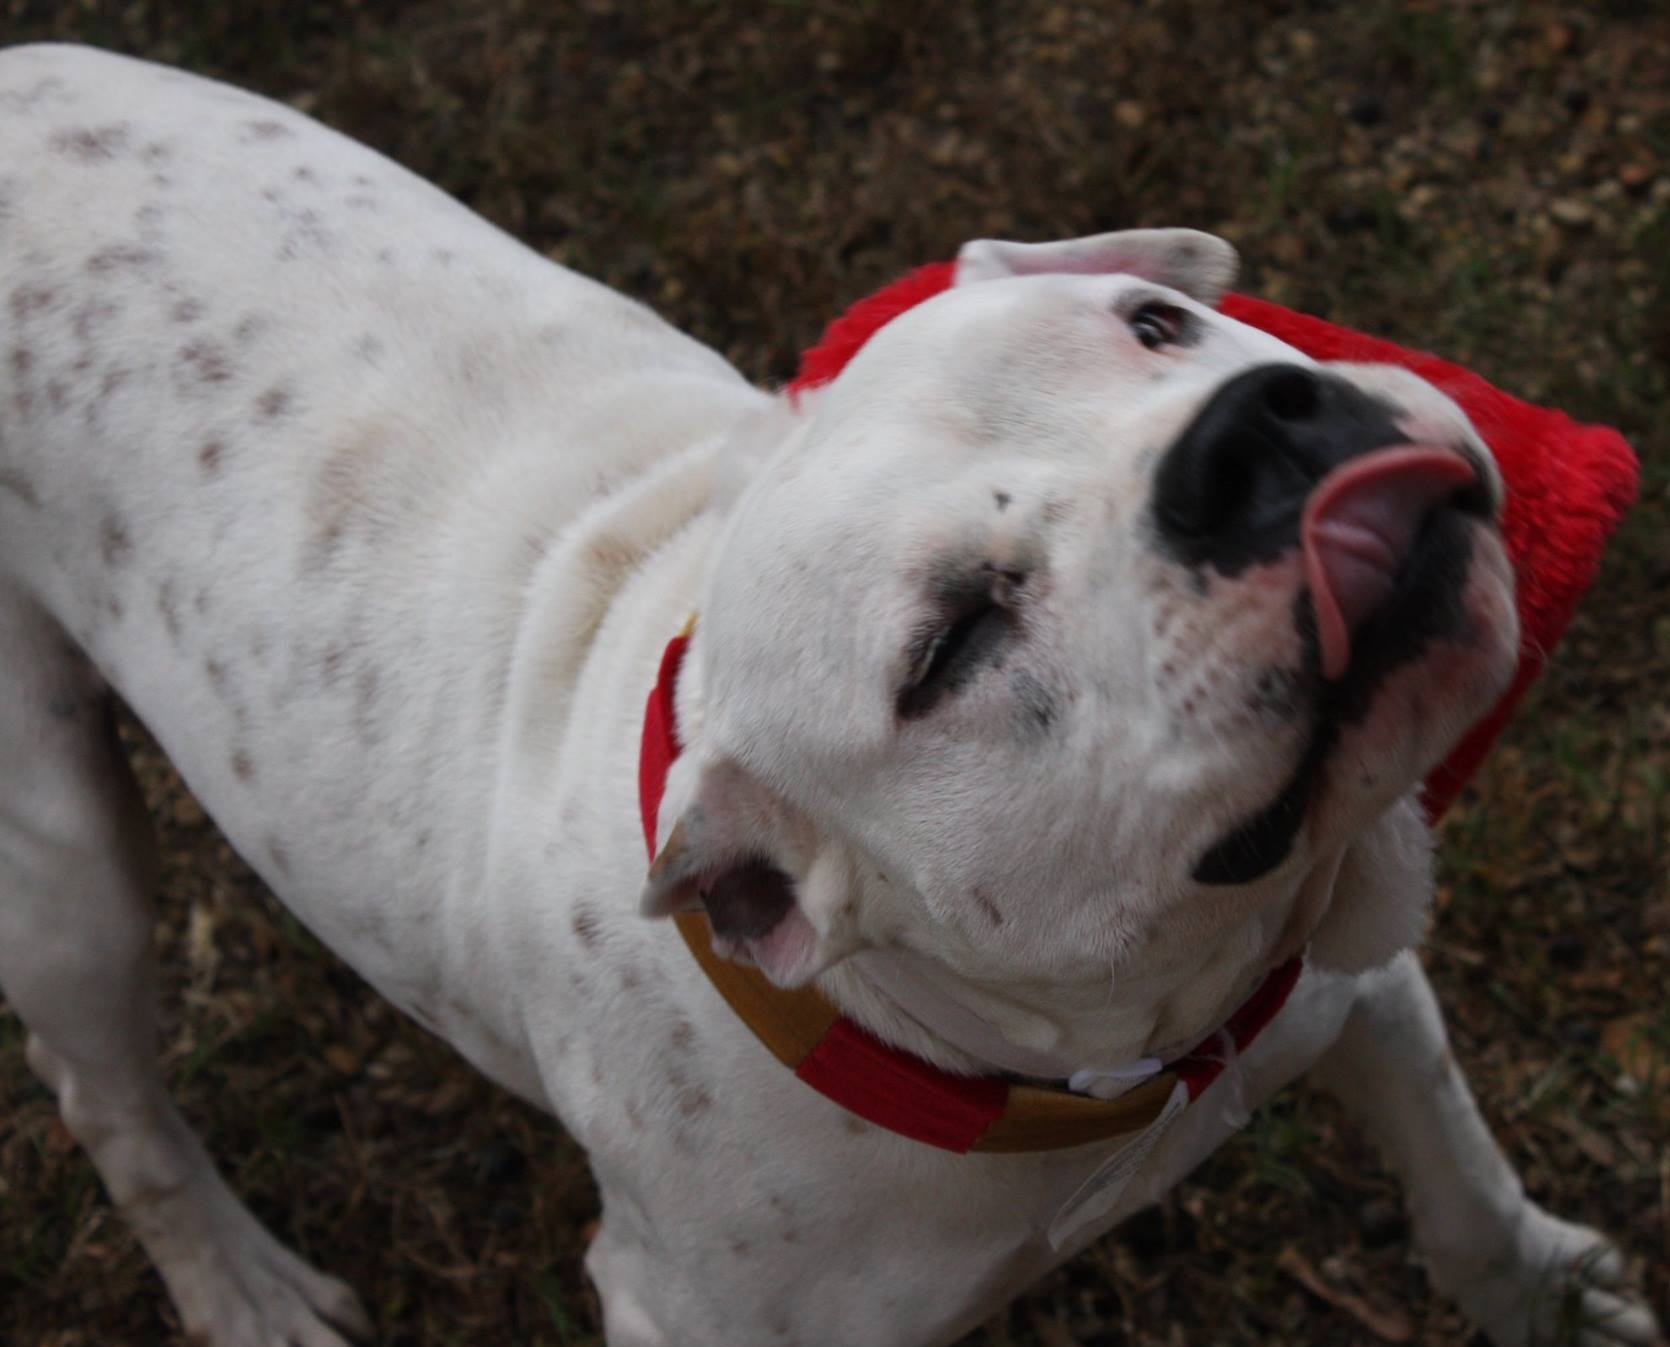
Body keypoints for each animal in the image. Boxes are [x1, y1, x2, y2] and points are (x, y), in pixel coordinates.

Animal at [0, 44, 1663, 1347]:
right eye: (948, 646)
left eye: (1152, 322)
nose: (1248, 434)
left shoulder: (1349, 977)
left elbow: (1464, 1179)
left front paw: (1550, 1293)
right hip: (68, 864)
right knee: (105, 1090)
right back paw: (239, 1283)